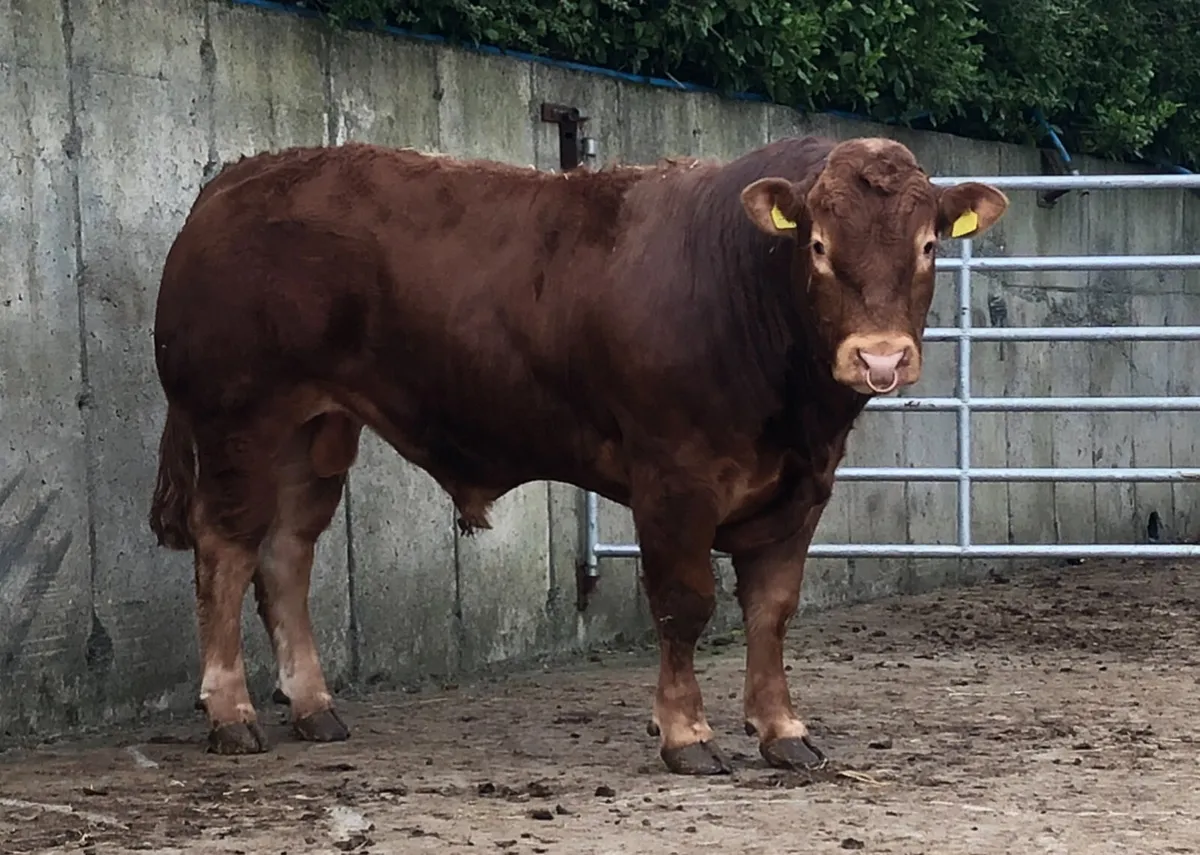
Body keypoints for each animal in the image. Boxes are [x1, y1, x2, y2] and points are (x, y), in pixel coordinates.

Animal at [149, 134, 1007, 775]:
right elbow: (686, 602)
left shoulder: (803, 486)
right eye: (820, 246)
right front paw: (686, 735)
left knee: (286, 554)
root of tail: (236, 179)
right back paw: (231, 713)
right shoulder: (674, 478)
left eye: (929, 244)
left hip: (316, 430)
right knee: (225, 552)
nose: (880, 357)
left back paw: (314, 706)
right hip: (238, 419)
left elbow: (771, 610)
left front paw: (783, 731)